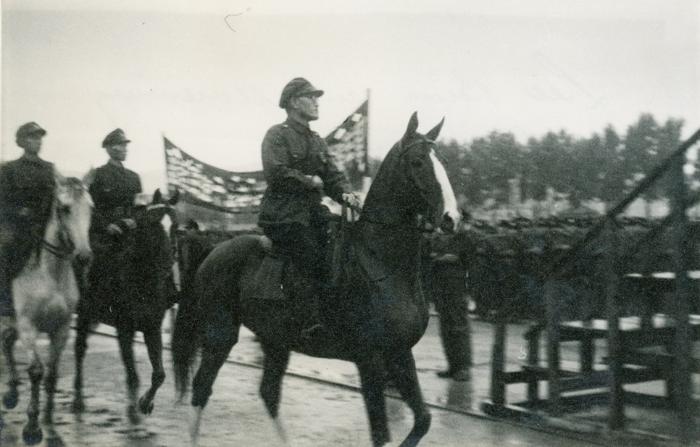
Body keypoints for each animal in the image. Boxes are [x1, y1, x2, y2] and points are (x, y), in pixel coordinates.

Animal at [0, 177, 92, 446]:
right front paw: (32, 427)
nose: (84, 257)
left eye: (91, 208)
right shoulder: (28, 326)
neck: (52, 274)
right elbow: (36, 371)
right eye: (64, 208)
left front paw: (49, 419)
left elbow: (51, 373)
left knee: (6, 340)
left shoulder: (60, 329)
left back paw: (11, 393)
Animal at [72, 189, 178, 424]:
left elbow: (159, 374)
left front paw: (145, 403)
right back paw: (77, 400)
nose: (168, 263)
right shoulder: (125, 329)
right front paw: (134, 409)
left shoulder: (152, 327)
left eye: (175, 226)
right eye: (151, 224)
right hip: (84, 313)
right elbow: (131, 373)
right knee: (79, 350)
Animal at [172, 113, 462, 447]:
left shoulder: (400, 354)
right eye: (417, 161)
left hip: (275, 339)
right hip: (221, 334)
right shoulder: (370, 360)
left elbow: (423, 420)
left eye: (442, 160)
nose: (452, 219)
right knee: (201, 388)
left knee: (268, 393)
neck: (379, 261)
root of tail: (214, 249)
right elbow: (381, 433)